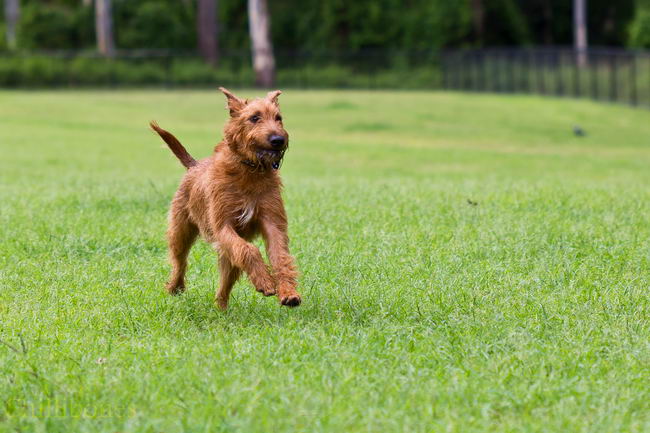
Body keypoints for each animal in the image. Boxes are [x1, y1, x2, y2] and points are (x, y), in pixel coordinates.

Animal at [151, 87, 302, 308]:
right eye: (254, 118)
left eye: (278, 118)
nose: (278, 140)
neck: (249, 170)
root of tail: (194, 166)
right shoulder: (223, 226)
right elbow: (249, 250)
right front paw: (265, 282)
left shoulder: (273, 222)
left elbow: (280, 257)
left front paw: (288, 292)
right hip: (181, 231)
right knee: (180, 261)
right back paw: (174, 287)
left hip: (226, 255)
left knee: (226, 279)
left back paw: (221, 307)